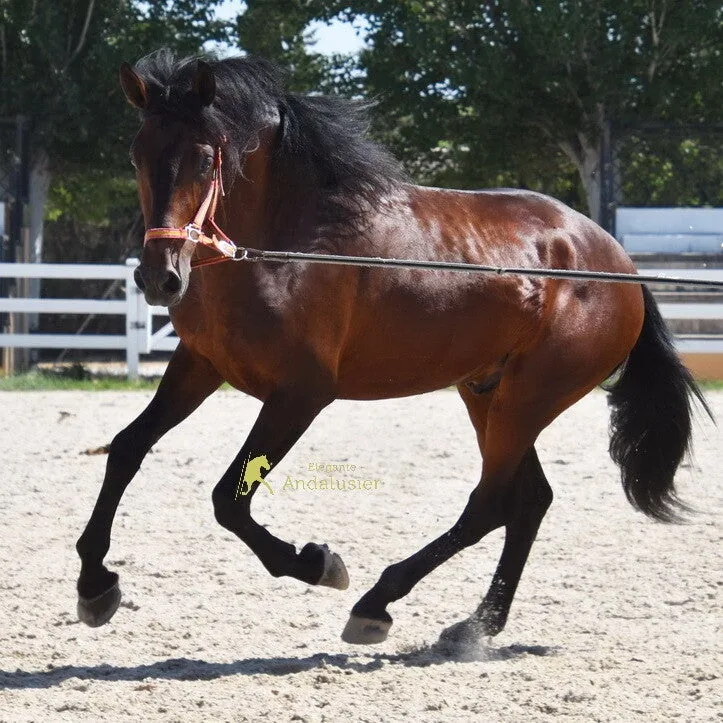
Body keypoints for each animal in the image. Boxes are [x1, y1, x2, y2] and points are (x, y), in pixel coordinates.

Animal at [75, 50, 712, 648]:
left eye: (206, 158)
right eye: (136, 154)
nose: (160, 279)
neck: (290, 244)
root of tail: (618, 263)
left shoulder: (301, 394)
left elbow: (228, 501)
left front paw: (318, 563)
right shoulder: (200, 365)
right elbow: (126, 449)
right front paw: (94, 585)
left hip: (527, 400)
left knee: (491, 503)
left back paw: (378, 604)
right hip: (488, 394)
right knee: (527, 500)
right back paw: (477, 625)